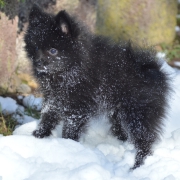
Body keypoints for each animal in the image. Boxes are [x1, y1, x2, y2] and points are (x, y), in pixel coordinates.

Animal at [24, 4, 170, 169]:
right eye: (36, 48)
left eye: (53, 50)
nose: (38, 63)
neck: (72, 69)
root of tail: (152, 69)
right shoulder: (54, 97)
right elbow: (48, 116)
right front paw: (39, 135)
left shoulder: (77, 108)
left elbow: (70, 128)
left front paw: (68, 145)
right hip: (119, 112)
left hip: (138, 114)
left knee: (145, 140)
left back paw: (138, 165)